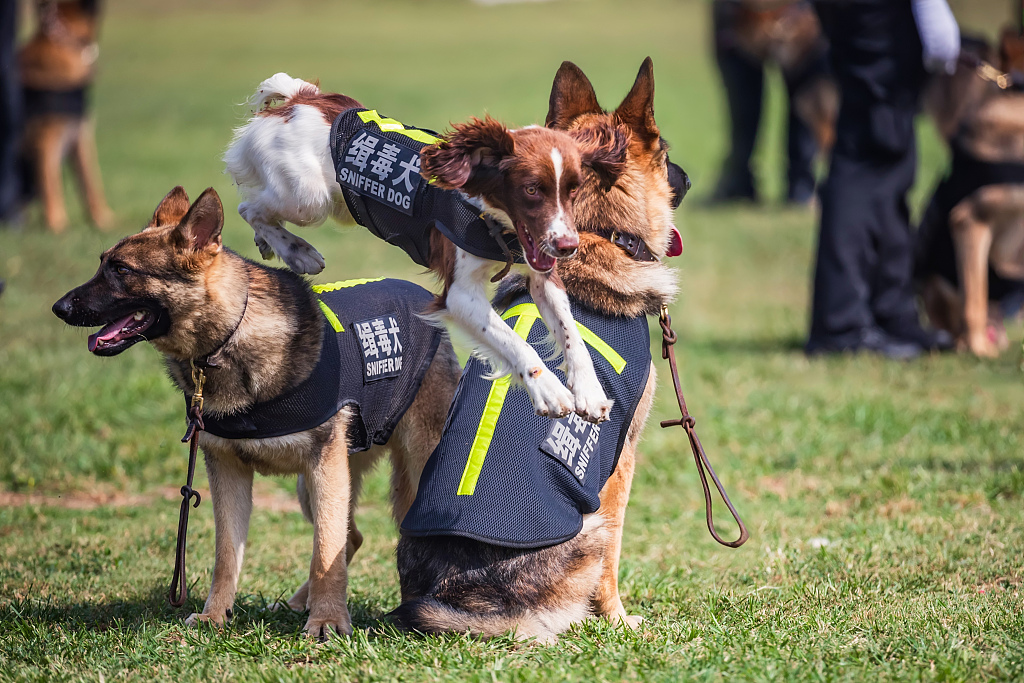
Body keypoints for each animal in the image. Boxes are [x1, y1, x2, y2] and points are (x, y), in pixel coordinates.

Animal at [18, 0, 112, 232]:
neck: (63, 42)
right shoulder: (46, 140)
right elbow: (51, 183)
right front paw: (57, 225)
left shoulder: (79, 137)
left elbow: (90, 182)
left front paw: (102, 220)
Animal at [50, 185, 460, 634]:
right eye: (102, 263)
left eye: (122, 270)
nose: (58, 308)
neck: (228, 336)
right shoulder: (228, 470)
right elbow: (227, 555)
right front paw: (215, 616)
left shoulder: (323, 467)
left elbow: (324, 552)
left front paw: (328, 622)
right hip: (314, 487)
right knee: (351, 537)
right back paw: (299, 603)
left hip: (398, 472)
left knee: (351, 539)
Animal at [395, 57, 684, 643]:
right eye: (666, 152)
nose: (687, 177)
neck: (599, 232)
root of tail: (455, 596)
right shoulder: (620, 463)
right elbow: (614, 563)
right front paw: (618, 618)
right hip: (588, 526)